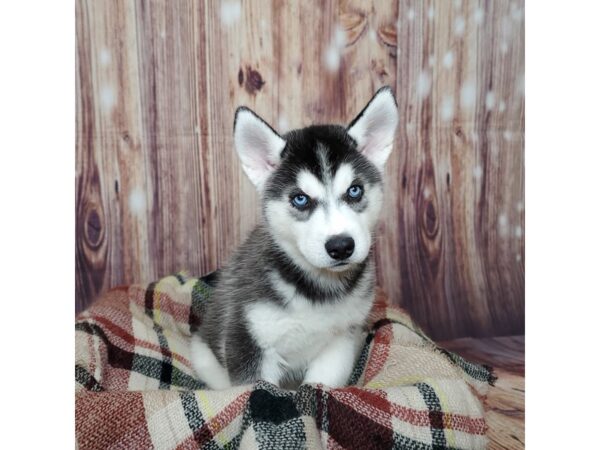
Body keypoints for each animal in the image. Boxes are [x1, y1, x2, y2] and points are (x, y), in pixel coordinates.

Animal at [192, 86, 398, 388]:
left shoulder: (341, 339)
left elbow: (321, 384)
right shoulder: (248, 337)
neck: (317, 289)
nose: (341, 246)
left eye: (355, 190)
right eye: (300, 199)